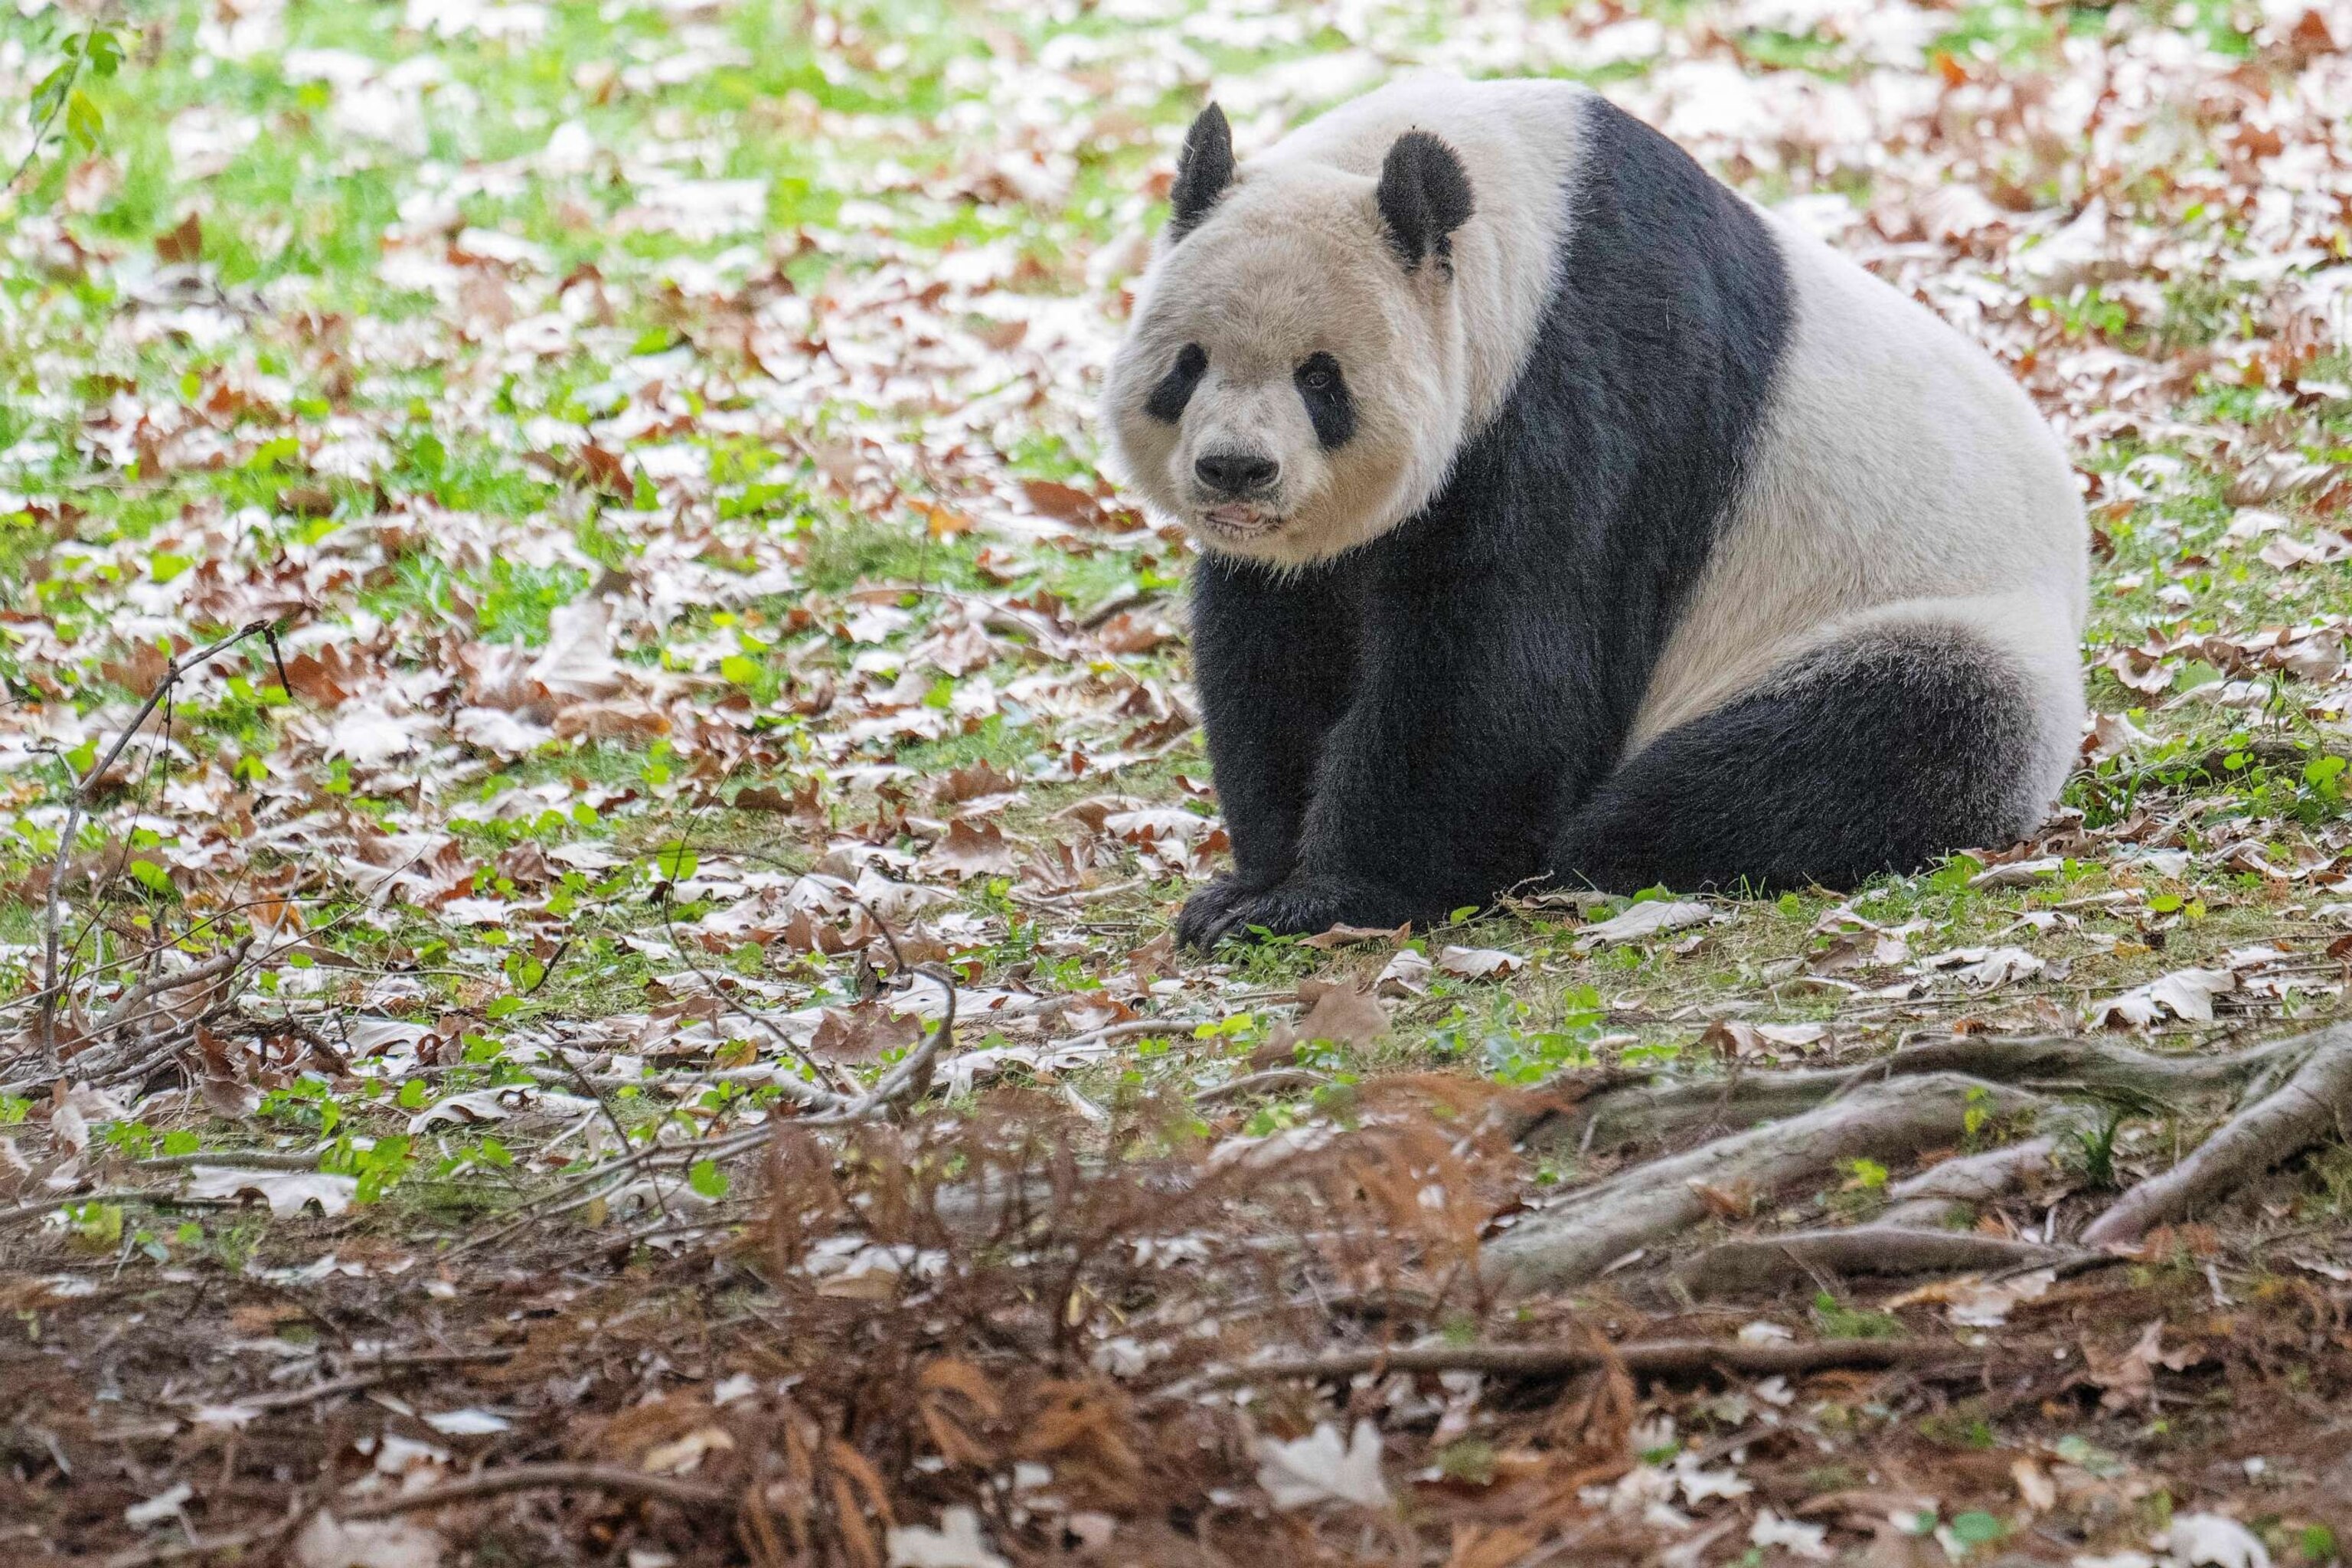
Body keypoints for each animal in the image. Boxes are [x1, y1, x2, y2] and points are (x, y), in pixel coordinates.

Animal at [1091, 73, 2088, 949]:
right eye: (1189, 364)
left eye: (1320, 378)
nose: (1236, 470)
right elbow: (1280, 648)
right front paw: (1251, 883)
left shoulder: (1581, 396)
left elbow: (1500, 670)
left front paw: (1332, 893)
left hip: (1919, 618)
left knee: (1865, 741)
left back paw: (1601, 840)